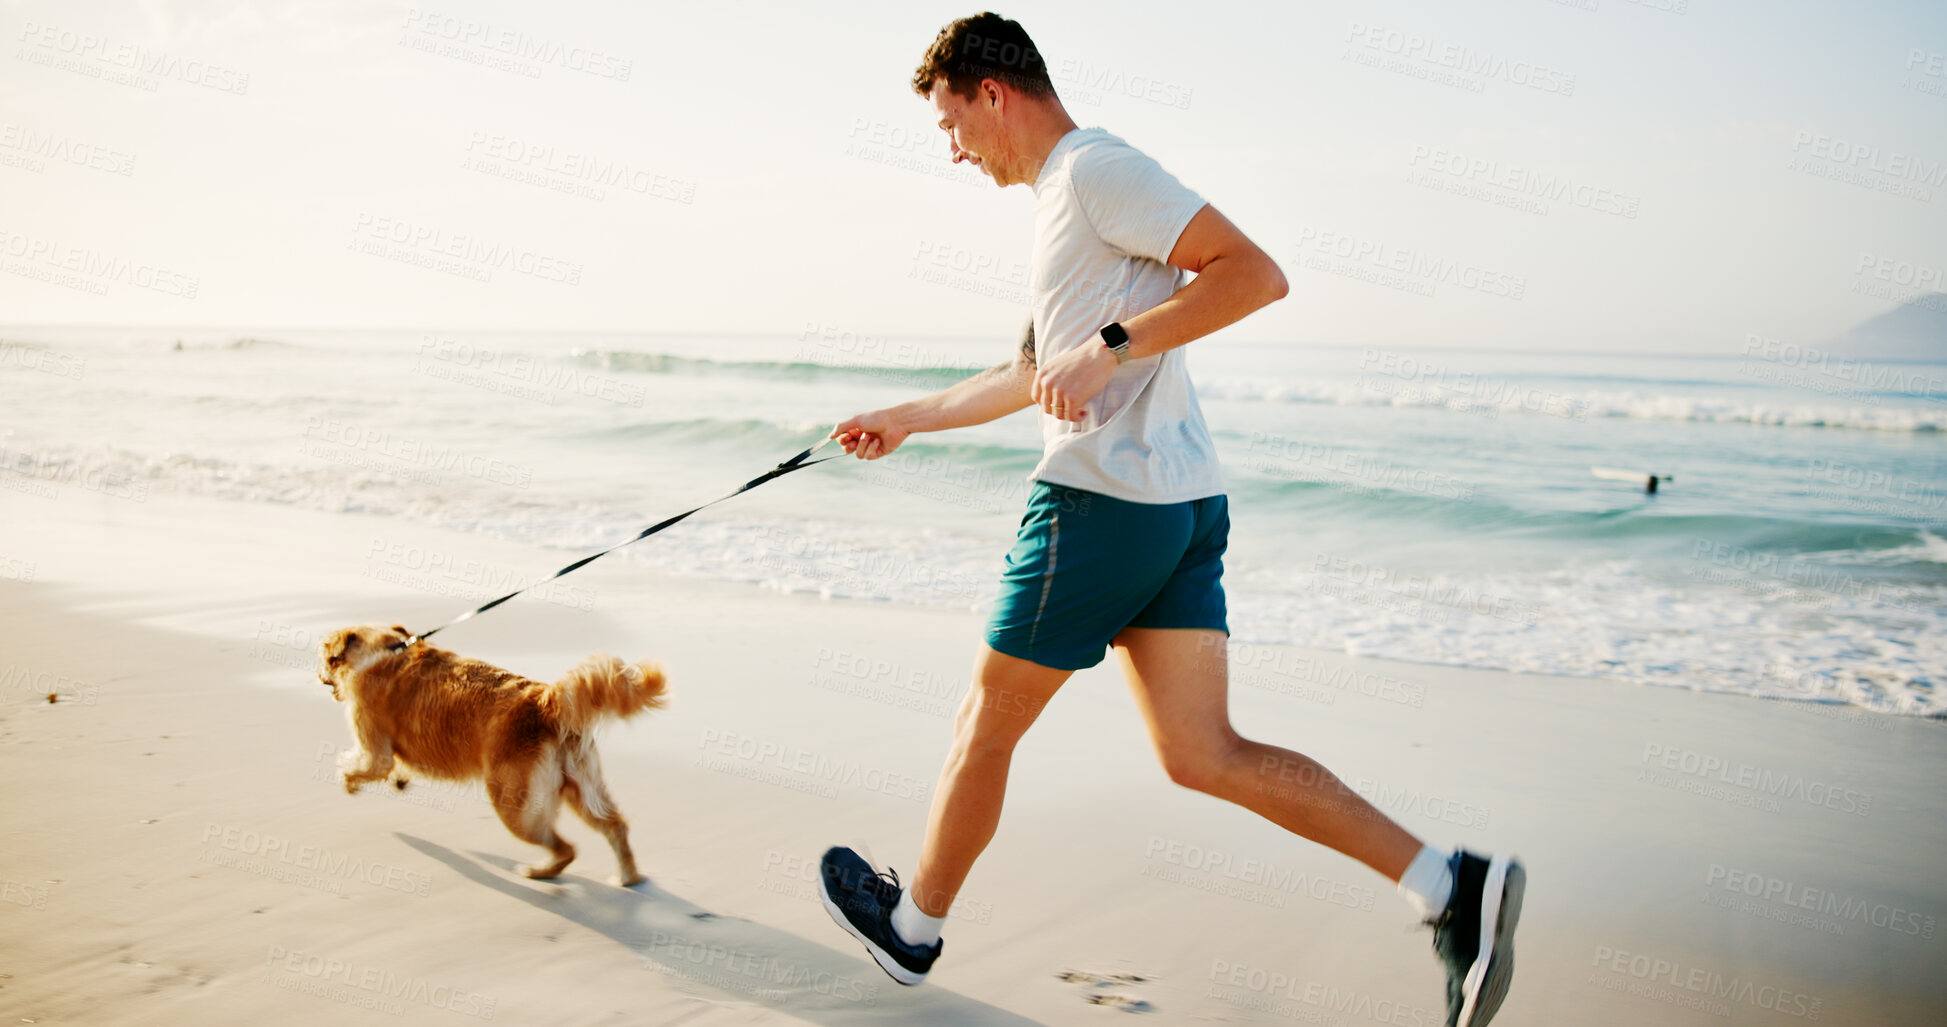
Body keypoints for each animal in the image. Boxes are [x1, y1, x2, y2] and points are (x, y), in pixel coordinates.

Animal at [319, 623, 669, 888]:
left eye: (324, 656)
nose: (320, 676)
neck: (387, 650)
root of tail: (546, 701)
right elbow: (397, 765)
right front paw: (400, 778)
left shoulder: (373, 748)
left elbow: (359, 766)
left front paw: (349, 781)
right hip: (583, 789)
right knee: (615, 827)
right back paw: (628, 877)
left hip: (514, 805)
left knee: (566, 848)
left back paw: (539, 872)